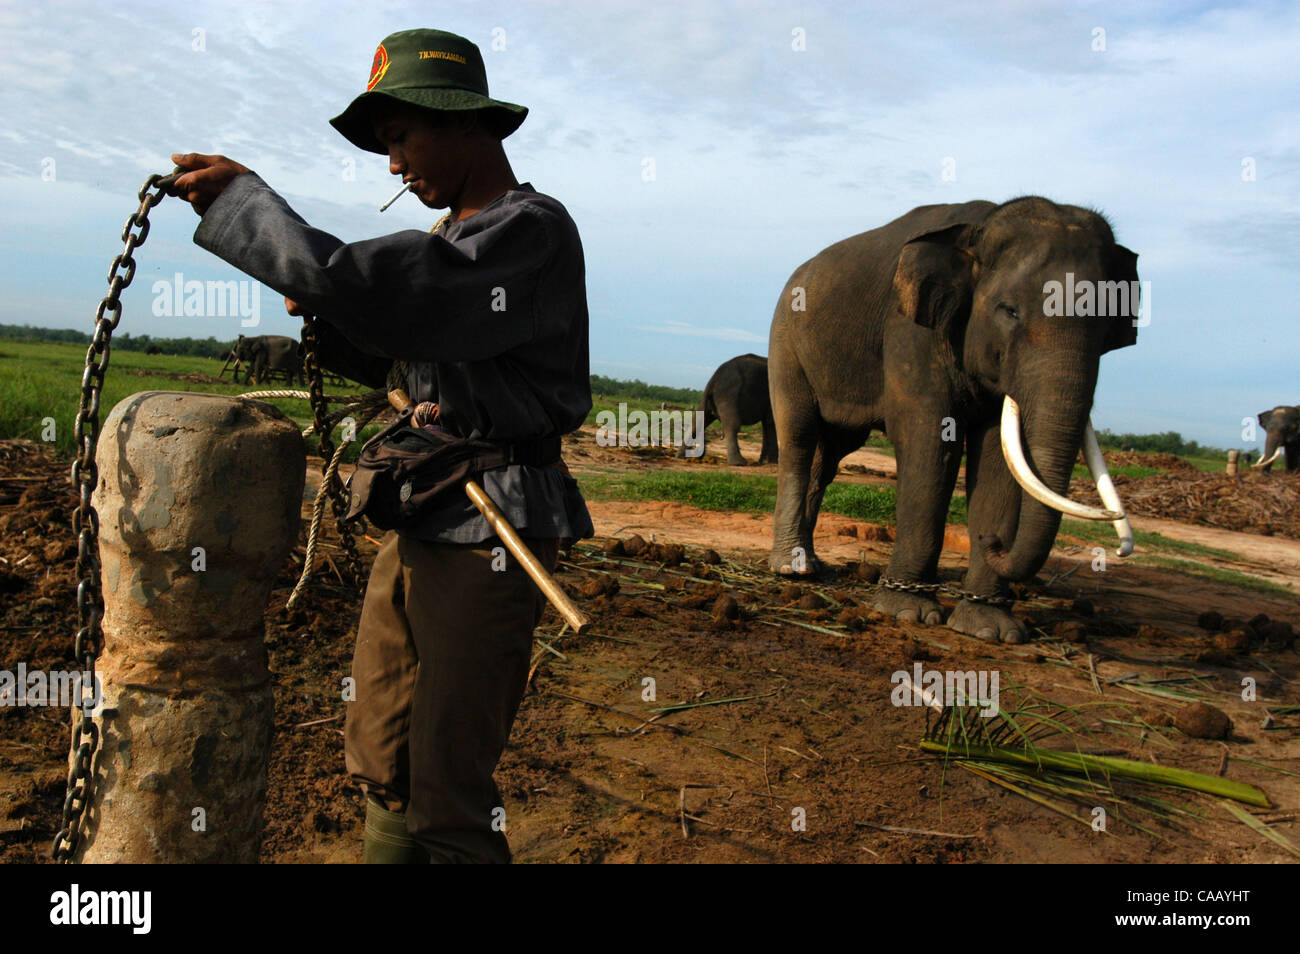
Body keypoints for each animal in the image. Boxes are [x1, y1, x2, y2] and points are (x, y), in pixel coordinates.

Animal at [769, 194, 1138, 647]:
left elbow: (1000, 459)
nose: (993, 542)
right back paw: (793, 569)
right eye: (1010, 311)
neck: (982, 226)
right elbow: (929, 440)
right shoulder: (911, 329)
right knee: (800, 438)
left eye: (1106, 324)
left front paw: (991, 630)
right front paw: (907, 612)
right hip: (786, 338)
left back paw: (814, 564)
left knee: (830, 456)